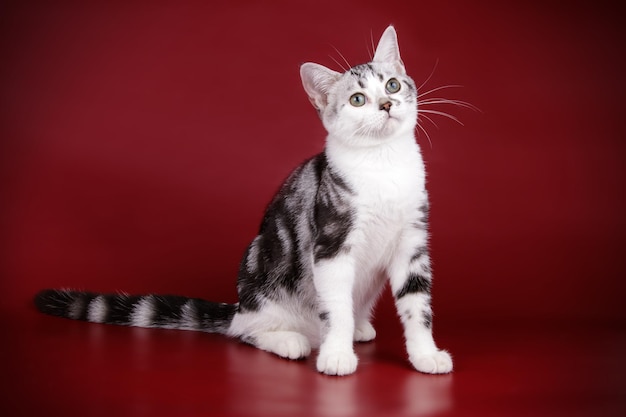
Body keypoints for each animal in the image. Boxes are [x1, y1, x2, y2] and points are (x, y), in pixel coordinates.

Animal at [34, 26, 450, 376]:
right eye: (358, 99)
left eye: (392, 85)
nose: (386, 105)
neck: (384, 164)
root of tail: (241, 305)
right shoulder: (331, 244)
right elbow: (335, 308)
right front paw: (336, 356)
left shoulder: (412, 242)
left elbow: (416, 305)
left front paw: (425, 355)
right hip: (260, 269)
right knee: (245, 331)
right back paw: (290, 340)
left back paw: (359, 328)